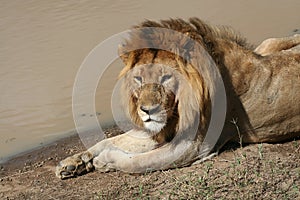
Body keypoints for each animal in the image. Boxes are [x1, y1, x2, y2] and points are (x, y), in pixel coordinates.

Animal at [55, 18, 298, 179]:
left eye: (166, 77)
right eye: (138, 79)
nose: (147, 110)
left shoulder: (194, 146)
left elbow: (137, 162)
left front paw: (104, 160)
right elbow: (112, 140)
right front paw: (74, 162)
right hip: (267, 44)